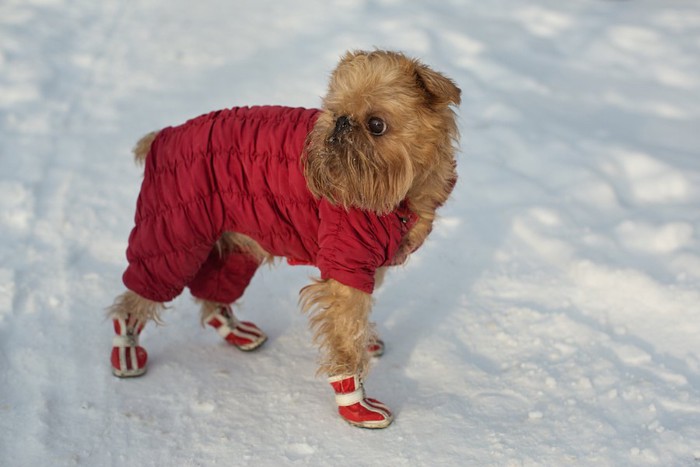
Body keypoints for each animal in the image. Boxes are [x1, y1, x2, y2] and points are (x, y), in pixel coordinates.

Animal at [108, 49, 460, 430]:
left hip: (235, 242)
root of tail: (162, 136)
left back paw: (236, 330)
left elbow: (356, 320)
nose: (341, 122)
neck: (402, 195)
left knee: (211, 291)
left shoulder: (369, 263)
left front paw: (367, 341)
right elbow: (344, 333)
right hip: (172, 236)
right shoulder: (346, 262)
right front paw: (356, 404)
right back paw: (126, 349)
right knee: (138, 296)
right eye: (335, 112)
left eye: (376, 124)